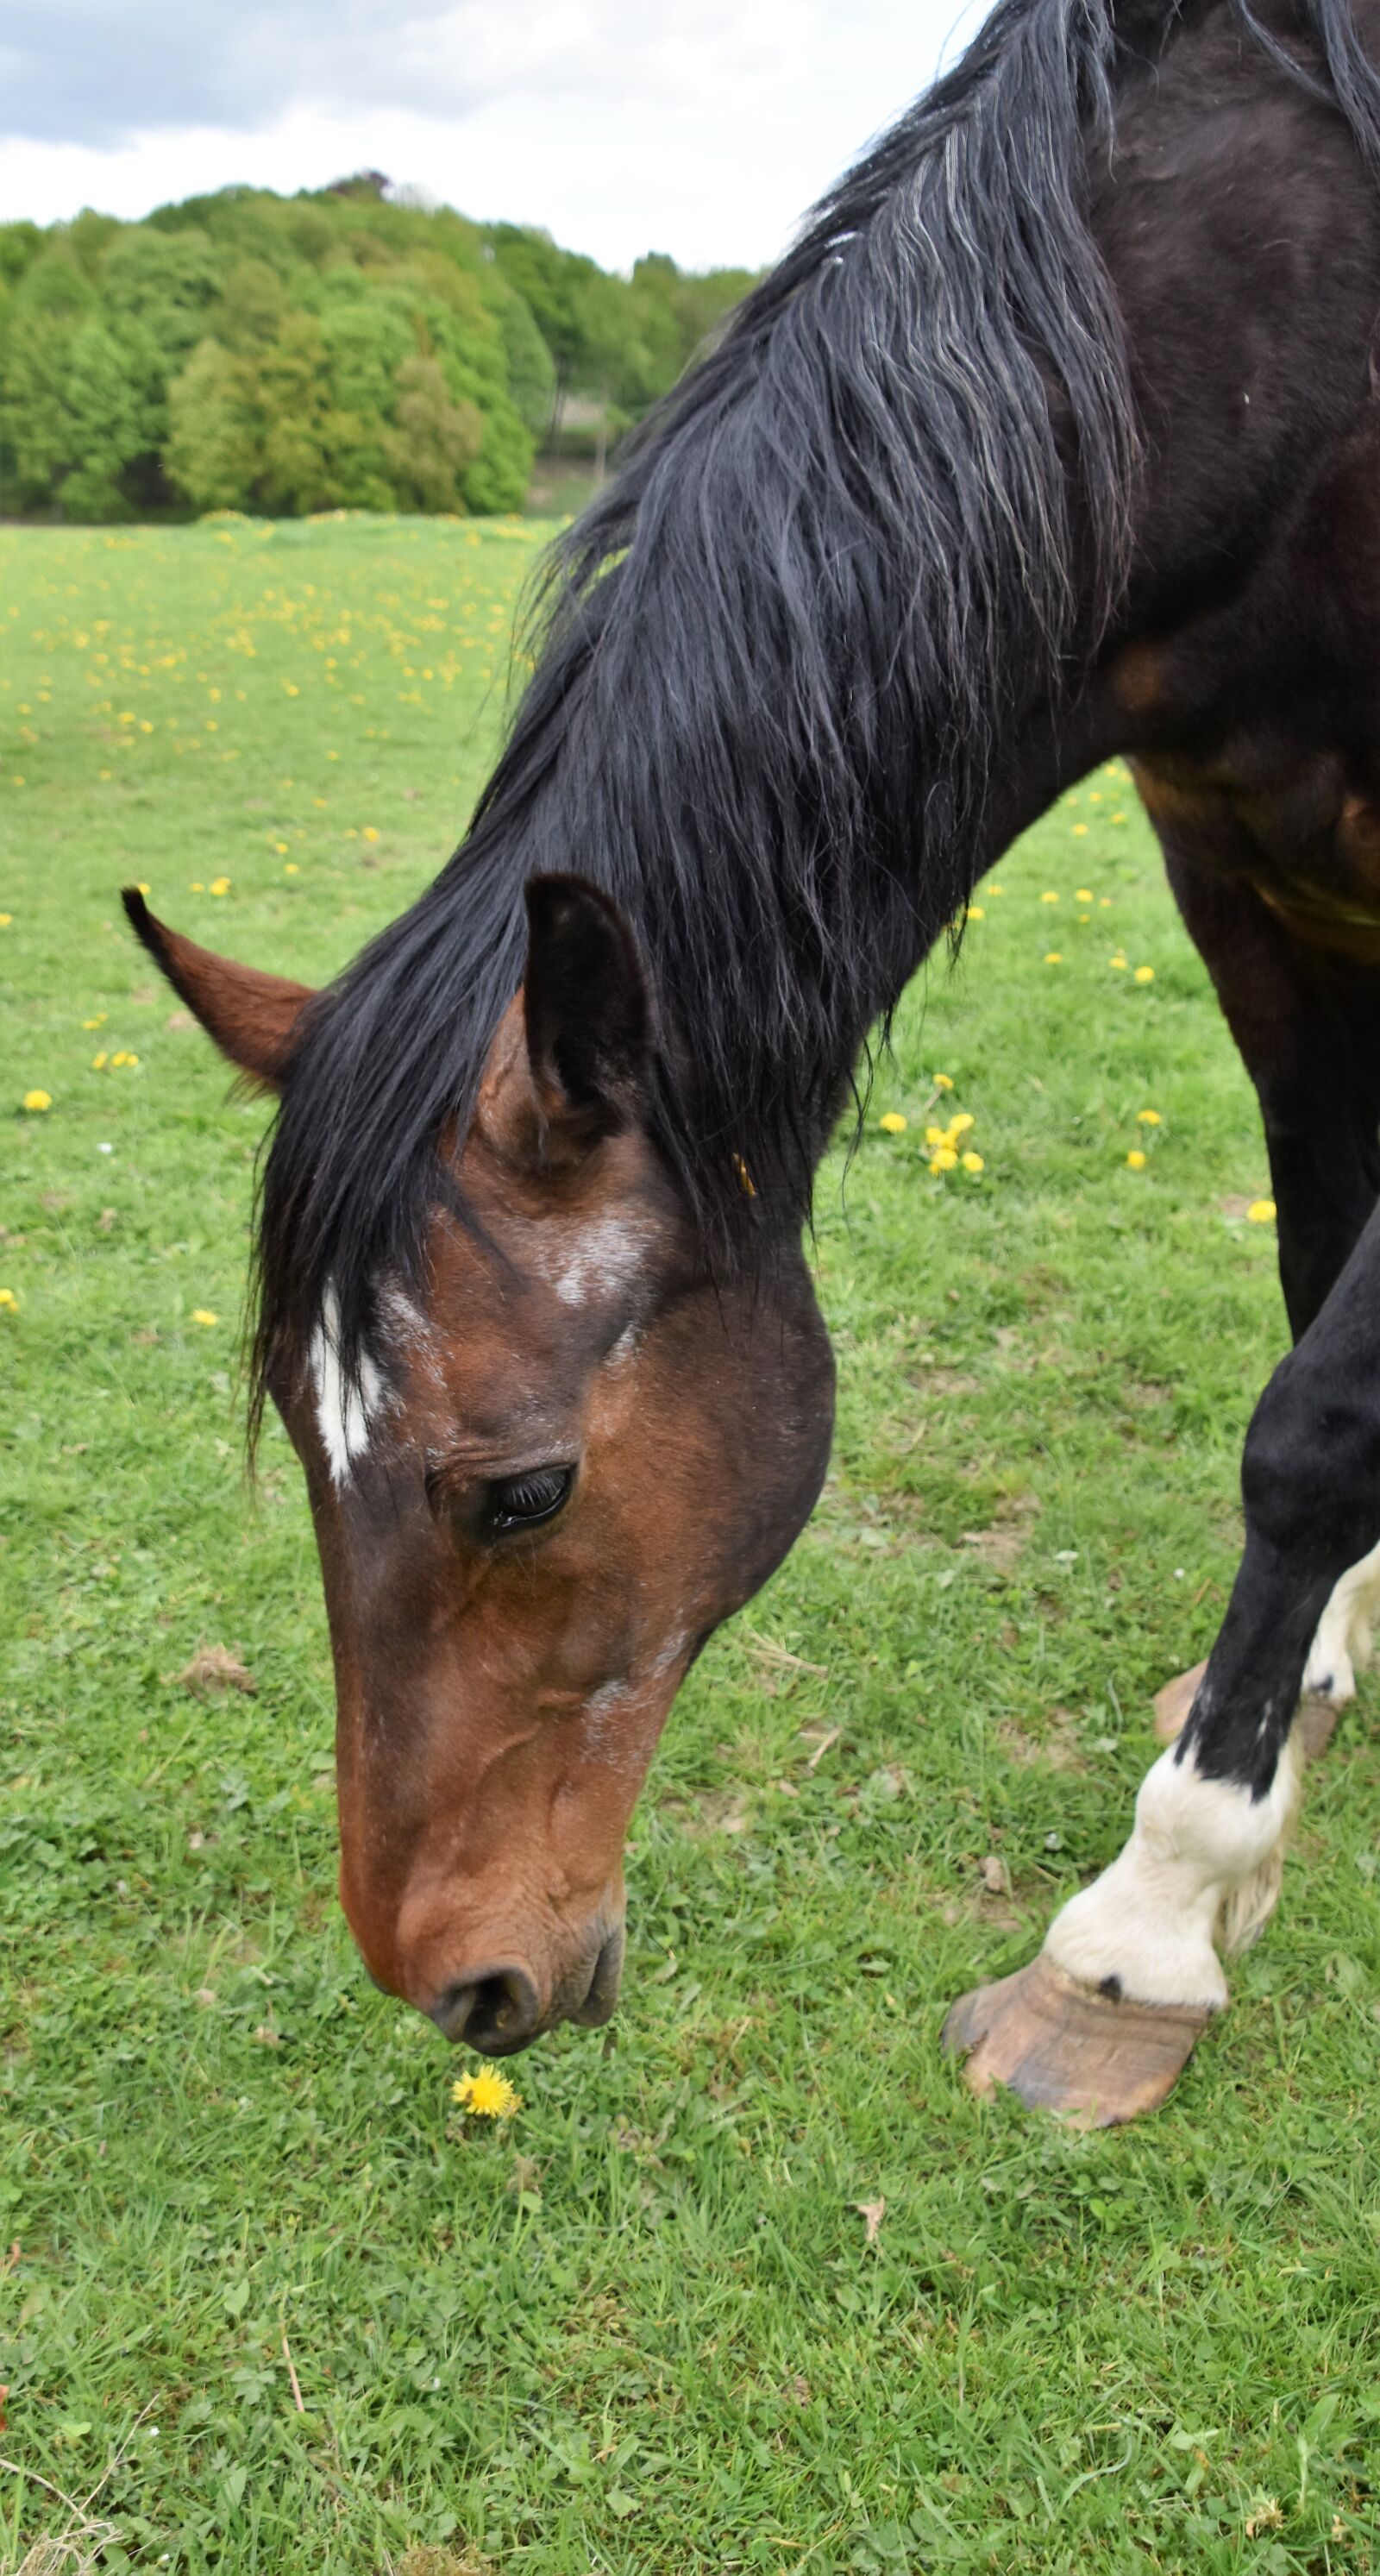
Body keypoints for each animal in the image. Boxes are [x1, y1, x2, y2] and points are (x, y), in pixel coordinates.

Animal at [128, 0, 1380, 2124]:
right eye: (299, 1436)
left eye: (523, 1493)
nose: (444, 1979)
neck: (1281, 345)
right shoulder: (1252, 887)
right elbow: (1321, 1289)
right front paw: (1302, 1691)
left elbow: (1309, 1425)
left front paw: (1138, 1933)